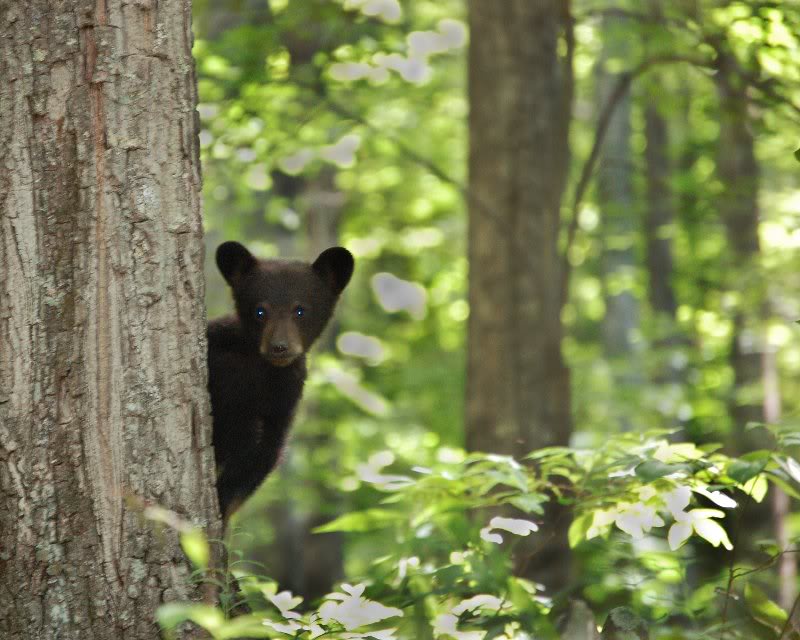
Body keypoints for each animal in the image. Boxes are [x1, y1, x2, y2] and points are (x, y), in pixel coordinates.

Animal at [207, 241, 354, 521]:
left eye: (300, 310)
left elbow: (263, 454)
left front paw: (222, 505)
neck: (260, 369)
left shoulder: (283, 398)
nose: (279, 347)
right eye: (260, 311)